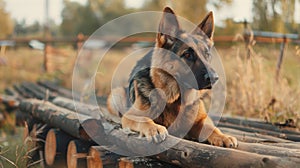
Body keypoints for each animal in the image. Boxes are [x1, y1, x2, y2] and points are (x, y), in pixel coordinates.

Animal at [106, 6, 238, 147]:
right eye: (187, 55)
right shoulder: (130, 116)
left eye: (207, 54)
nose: (215, 78)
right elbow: (144, 119)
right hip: (116, 93)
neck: (176, 100)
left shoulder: (201, 120)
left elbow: (211, 128)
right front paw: (155, 128)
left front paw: (223, 136)